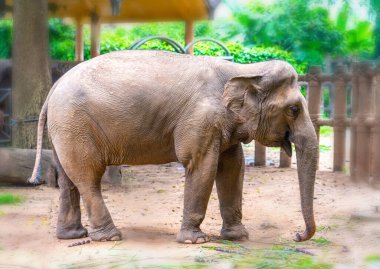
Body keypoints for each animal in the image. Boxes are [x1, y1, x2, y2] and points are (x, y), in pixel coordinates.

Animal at [29, 50, 320, 243]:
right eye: (294, 109)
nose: (297, 235)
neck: (246, 69)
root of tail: (54, 87)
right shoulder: (201, 120)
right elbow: (202, 165)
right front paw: (195, 241)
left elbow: (233, 168)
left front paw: (238, 237)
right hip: (75, 125)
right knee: (87, 177)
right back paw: (110, 237)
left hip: (64, 129)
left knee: (68, 180)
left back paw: (72, 235)